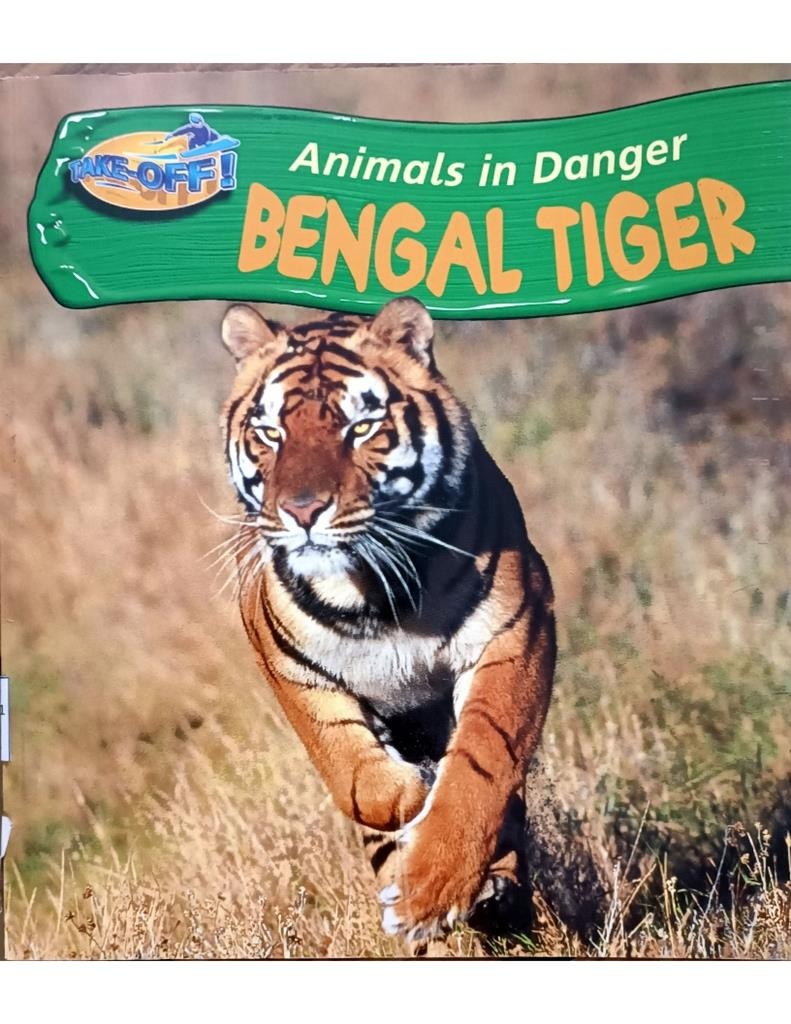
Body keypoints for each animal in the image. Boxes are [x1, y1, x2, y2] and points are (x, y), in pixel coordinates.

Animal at [219, 296, 556, 942]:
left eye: (360, 428)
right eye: (271, 433)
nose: (302, 511)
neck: (375, 593)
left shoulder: (517, 628)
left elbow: (482, 761)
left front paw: (432, 886)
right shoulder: (285, 662)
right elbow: (351, 771)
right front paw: (406, 793)